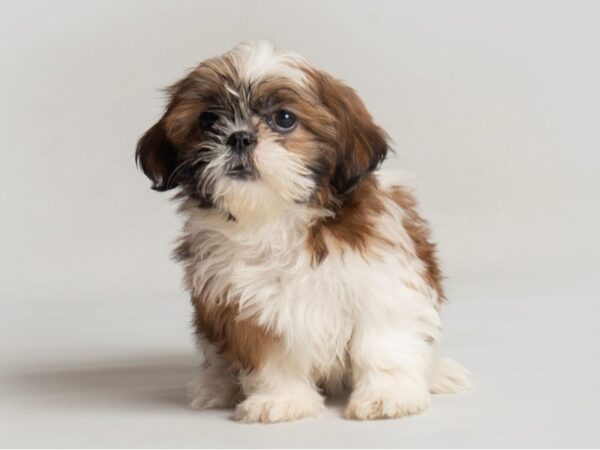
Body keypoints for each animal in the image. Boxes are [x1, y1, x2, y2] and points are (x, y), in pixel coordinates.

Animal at [137, 41, 474, 422]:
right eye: (207, 119)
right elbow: (271, 355)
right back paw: (216, 386)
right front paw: (282, 400)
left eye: (284, 119)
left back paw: (438, 373)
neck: (275, 219)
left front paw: (388, 394)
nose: (239, 137)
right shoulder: (242, 304)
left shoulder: (381, 279)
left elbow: (382, 341)